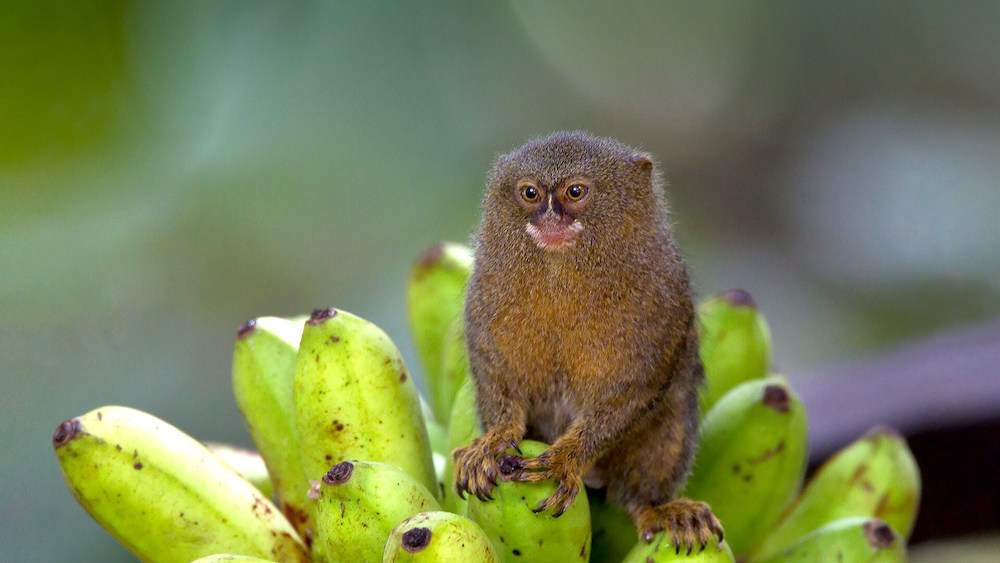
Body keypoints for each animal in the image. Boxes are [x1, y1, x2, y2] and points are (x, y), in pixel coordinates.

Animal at [453, 131, 724, 554]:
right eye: (530, 192)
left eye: (575, 192)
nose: (550, 216)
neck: (563, 276)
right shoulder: (486, 290)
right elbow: (493, 371)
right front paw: (495, 440)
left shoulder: (664, 297)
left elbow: (633, 391)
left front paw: (567, 457)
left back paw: (653, 508)